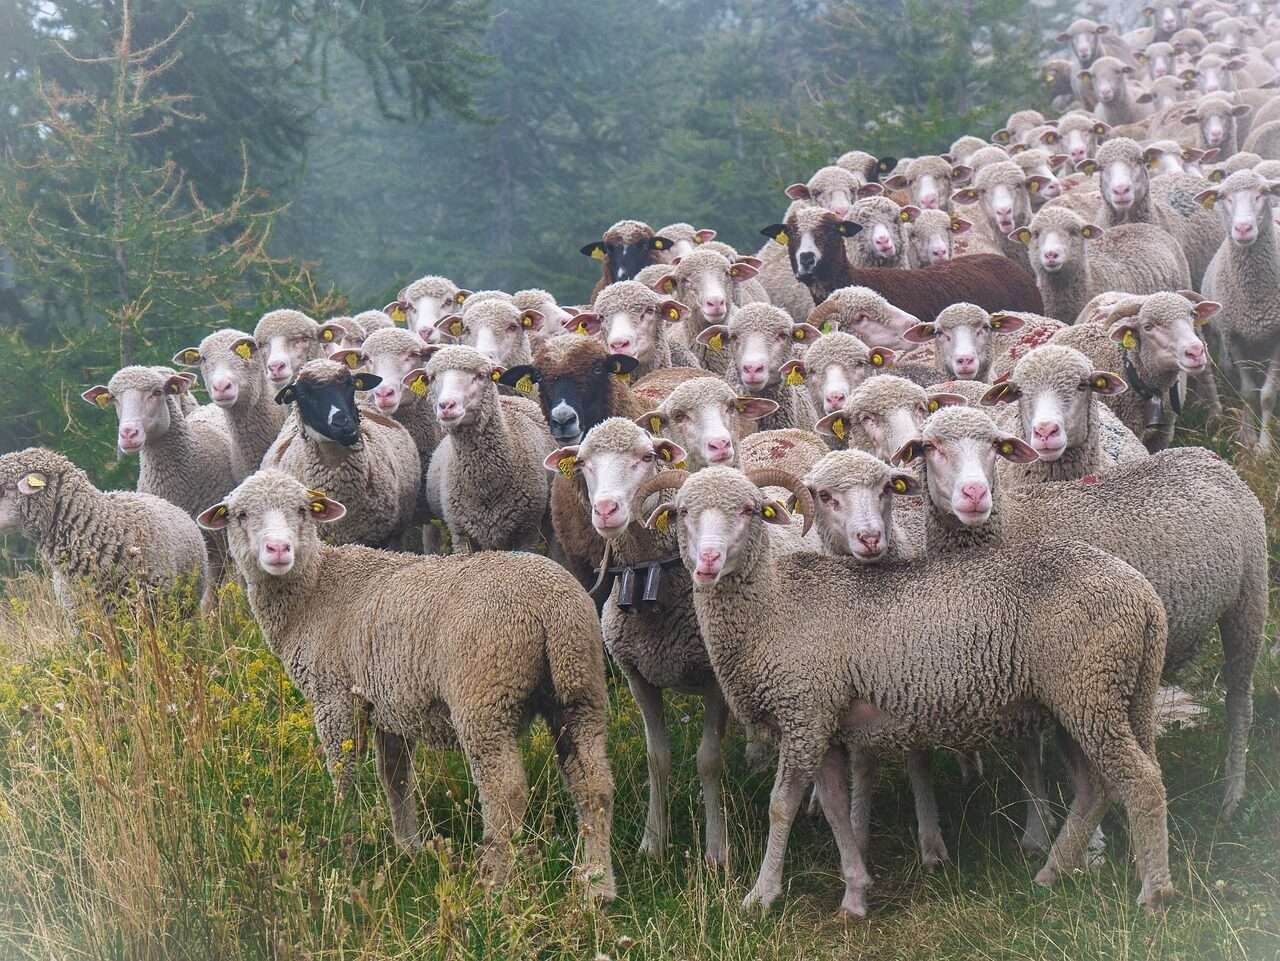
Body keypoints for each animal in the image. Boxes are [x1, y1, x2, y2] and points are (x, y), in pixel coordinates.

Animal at [196, 470, 615, 900]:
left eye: (301, 510)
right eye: (241, 515)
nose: (278, 549)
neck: (313, 592)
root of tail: (550, 605)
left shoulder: (334, 699)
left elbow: (344, 777)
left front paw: (348, 851)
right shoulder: (389, 704)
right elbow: (395, 777)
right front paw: (408, 846)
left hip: (485, 694)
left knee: (505, 791)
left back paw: (495, 885)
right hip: (580, 687)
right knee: (593, 782)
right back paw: (597, 883)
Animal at [410, 346, 554, 552]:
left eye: (480, 375)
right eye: (431, 378)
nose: (446, 406)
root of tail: (508, 398)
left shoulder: (527, 532)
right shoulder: (461, 532)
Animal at [647, 433, 1173, 915]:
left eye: (750, 511)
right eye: (682, 512)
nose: (708, 562)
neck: (772, 607)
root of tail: (1144, 597)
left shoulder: (803, 714)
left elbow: (782, 806)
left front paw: (761, 895)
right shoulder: (826, 723)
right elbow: (836, 807)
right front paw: (855, 893)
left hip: (1088, 688)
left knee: (1140, 779)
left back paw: (1153, 894)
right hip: (1092, 697)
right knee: (1097, 787)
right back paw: (1052, 872)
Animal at [1199, 169, 1280, 450]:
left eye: (1263, 193)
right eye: (1224, 197)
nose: (1243, 228)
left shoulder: (1277, 339)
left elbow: (1267, 395)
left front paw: (1264, 448)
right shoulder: (1233, 336)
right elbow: (1248, 393)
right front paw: (1248, 437)